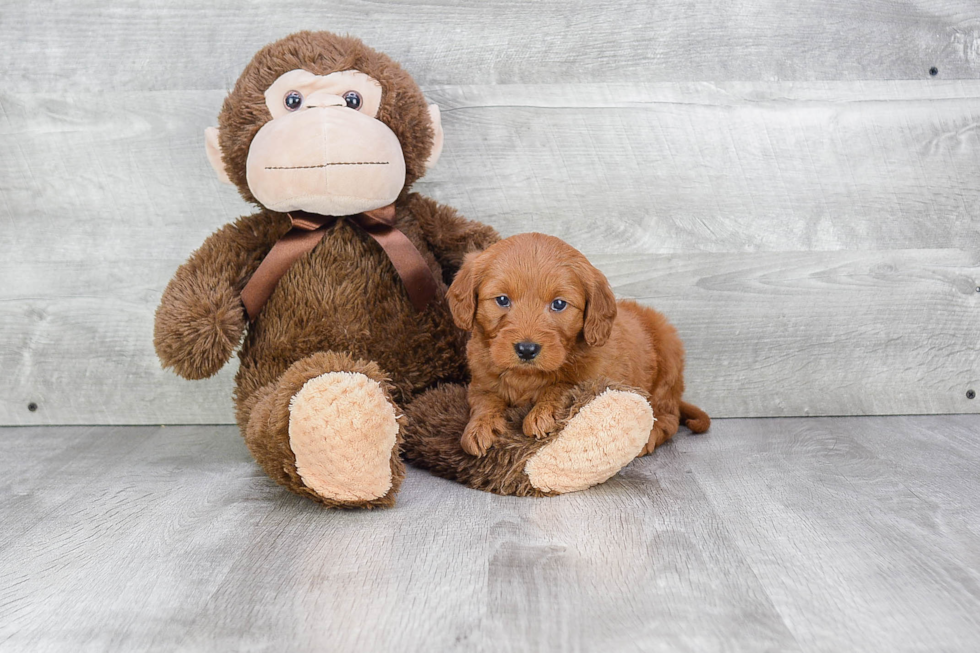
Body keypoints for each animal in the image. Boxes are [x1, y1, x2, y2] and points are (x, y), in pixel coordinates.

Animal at [448, 234, 708, 458]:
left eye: (559, 304)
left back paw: (649, 436)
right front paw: (480, 427)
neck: (526, 375)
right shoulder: (480, 381)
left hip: (668, 358)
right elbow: (485, 400)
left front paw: (543, 413)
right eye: (502, 300)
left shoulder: (596, 380)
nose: (527, 349)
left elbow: (563, 386)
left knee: (669, 417)